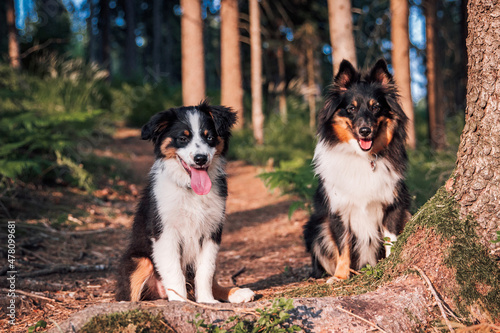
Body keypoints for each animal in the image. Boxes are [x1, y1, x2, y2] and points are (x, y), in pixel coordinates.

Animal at [116, 100, 254, 302]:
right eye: (182, 138)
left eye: (209, 137)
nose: (200, 159)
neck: (190, 190)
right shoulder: (165, 233)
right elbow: (174, 272)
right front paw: (180, 302)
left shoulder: (212, 231)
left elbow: (206, 272)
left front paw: (206, 301)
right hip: (139, 260)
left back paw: (236, 293)